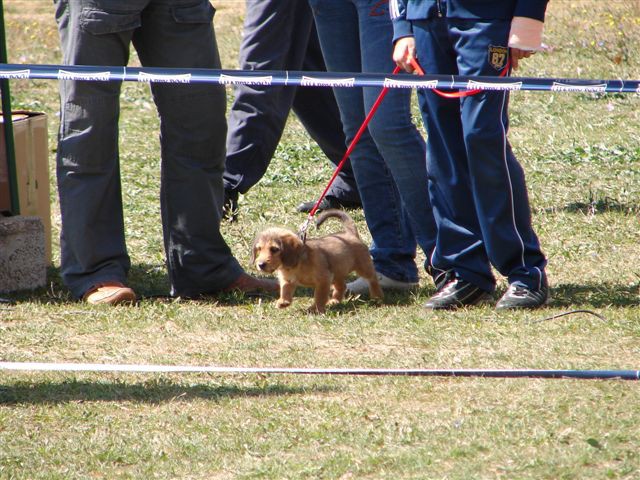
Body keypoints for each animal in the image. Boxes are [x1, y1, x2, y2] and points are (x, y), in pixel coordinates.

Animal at [251, 209, 382, 314]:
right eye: (259, 249)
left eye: (274, 249)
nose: (260, 265)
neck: (297, 264)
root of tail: (350, 233)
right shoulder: (287, 280)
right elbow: (285, 291)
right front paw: (284, 302)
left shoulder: (323, 280)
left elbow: (319, 297)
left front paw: (316, 309)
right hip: (337, 272)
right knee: (342, 286)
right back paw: (334, 301)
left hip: (363, 267)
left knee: (373, 278)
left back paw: (377, 296)